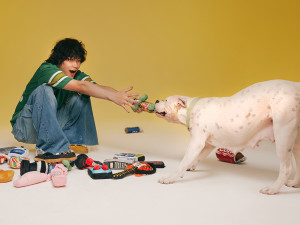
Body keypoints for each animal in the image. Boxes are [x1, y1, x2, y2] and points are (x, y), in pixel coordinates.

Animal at [155, 79, 300, 193]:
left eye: (165, 100)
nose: (156, 100)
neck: (192, 108)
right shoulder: (208, 145)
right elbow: (198, 157)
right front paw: (191, 165)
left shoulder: (196, 143)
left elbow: (183, 162)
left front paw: (170, 178)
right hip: (296, 142)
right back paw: (295, 183)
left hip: (283, 134)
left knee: (287, 168)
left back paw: (273, 189)